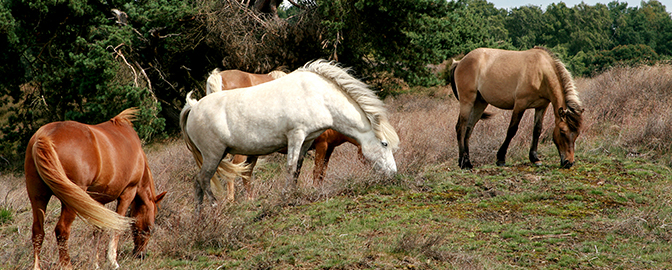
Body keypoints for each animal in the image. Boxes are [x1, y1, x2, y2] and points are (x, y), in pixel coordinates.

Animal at [25, 108, 167, 270]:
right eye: (150, 227)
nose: (140, 255)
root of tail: (45, 136)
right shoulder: (127, 193)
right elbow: (117, 226)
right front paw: (112, 261)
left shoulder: (98, 202)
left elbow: (98, 229)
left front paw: (95, 262)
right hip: (71, 199)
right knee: (62, 229)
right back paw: (67, 264)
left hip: (38, 196)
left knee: (38, 231)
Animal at [178, 59, 400, 207]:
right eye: (385, 144)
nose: (393, 174)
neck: (319, 96)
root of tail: (193, 107)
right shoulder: (297, 136)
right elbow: (292, 167)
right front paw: (286, 196)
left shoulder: (308, 141)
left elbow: (301, 169)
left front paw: (294, 193)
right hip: (214, 155)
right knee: (204, 180)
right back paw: (215, 207)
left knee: (202, 182)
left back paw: (201, 218)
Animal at [446, 46, 584, 169]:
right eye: (562, 131)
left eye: (577, 134)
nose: (569, 162)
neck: (541, 72)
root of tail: (460, 62)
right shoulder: (520, 104)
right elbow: (512, 130)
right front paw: (501, 158)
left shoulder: (542, 106)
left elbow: (537, 129)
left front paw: (535, 158)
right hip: (467, 101)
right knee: (461, 127)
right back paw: (464, 163)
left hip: (480, 103)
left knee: (469, 128)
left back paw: (467, 161)